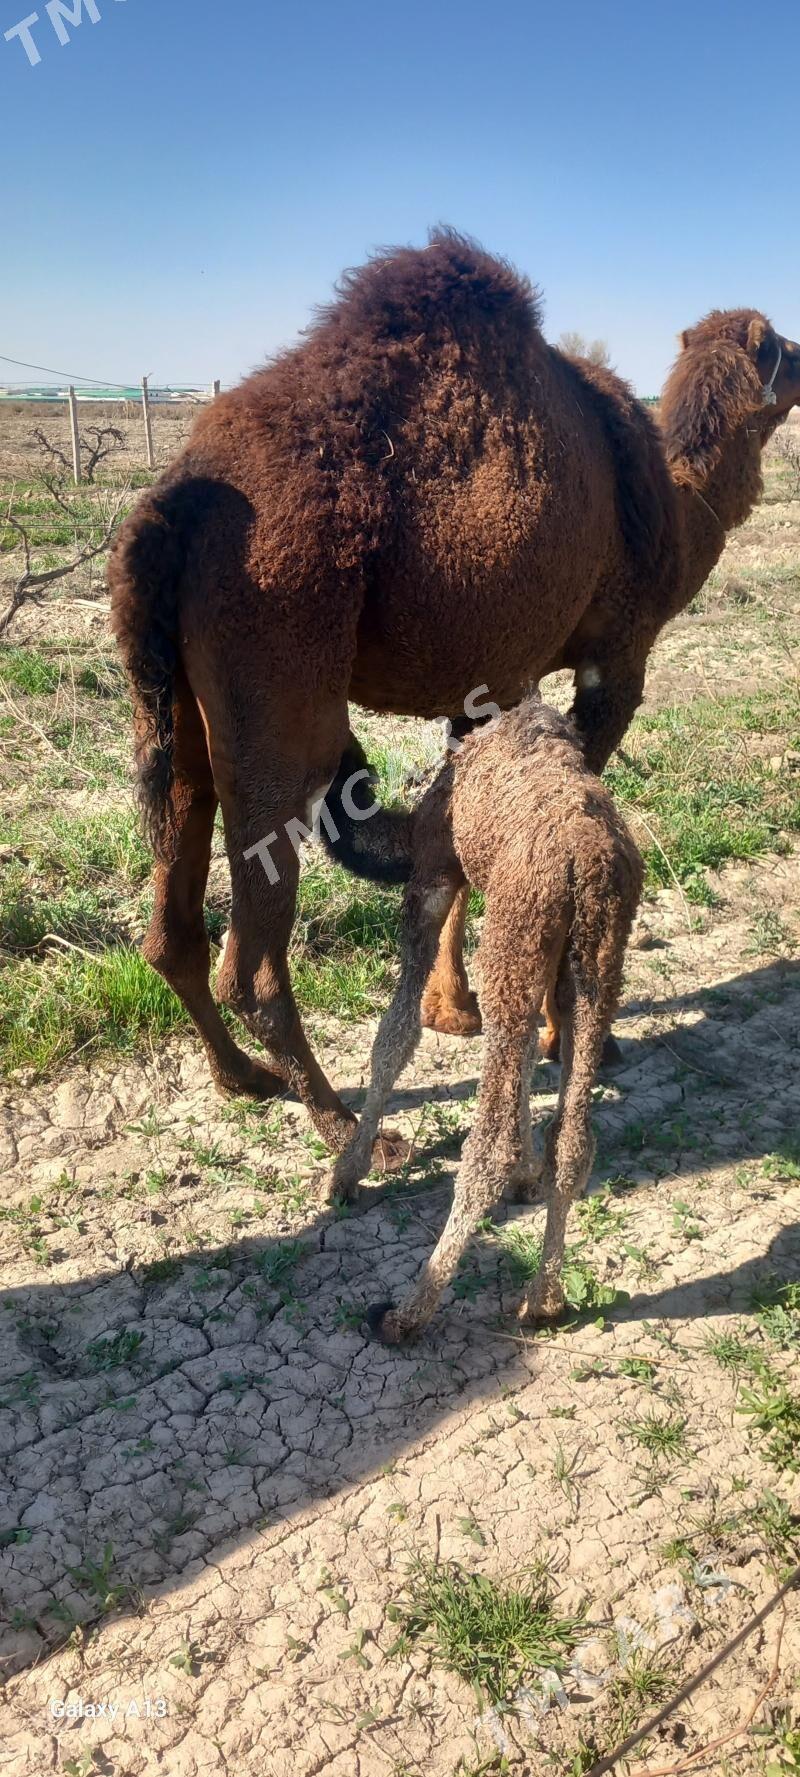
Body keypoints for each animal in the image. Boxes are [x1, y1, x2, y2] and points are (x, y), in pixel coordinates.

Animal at [108, 232, 800, 1151]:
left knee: (171, 918)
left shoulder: (482, 681)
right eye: (786, 346)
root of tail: (167, 508)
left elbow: (461, 834)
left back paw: (244, 1080)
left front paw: (452, 1008)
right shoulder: (615, 659)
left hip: (174, 703)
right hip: (281, 673)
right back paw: (350, 1129)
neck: (674, 511)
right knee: (251, 957)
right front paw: (570, 1035)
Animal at [325, 700, 643, 1336]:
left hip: (513, 935)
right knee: (574, 1139)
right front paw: (526, 1177)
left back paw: (408, 1311)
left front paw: (347, 1174)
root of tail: (587, 866)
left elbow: (394, 1037)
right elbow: (525, 1065)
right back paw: (543, 1301)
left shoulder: (432, 875)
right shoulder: (551, 966)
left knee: (484, 1143)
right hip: (596, 956)